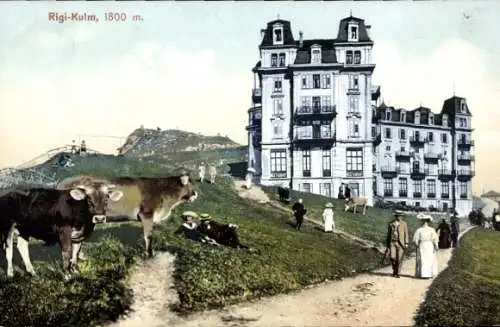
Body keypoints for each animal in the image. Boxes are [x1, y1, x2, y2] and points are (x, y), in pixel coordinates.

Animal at [57, 173, 198, 258]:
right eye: (191, 185)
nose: (196, 194)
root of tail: (63, 182)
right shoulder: (147, 214)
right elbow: (148, 236)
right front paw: (149, 254)